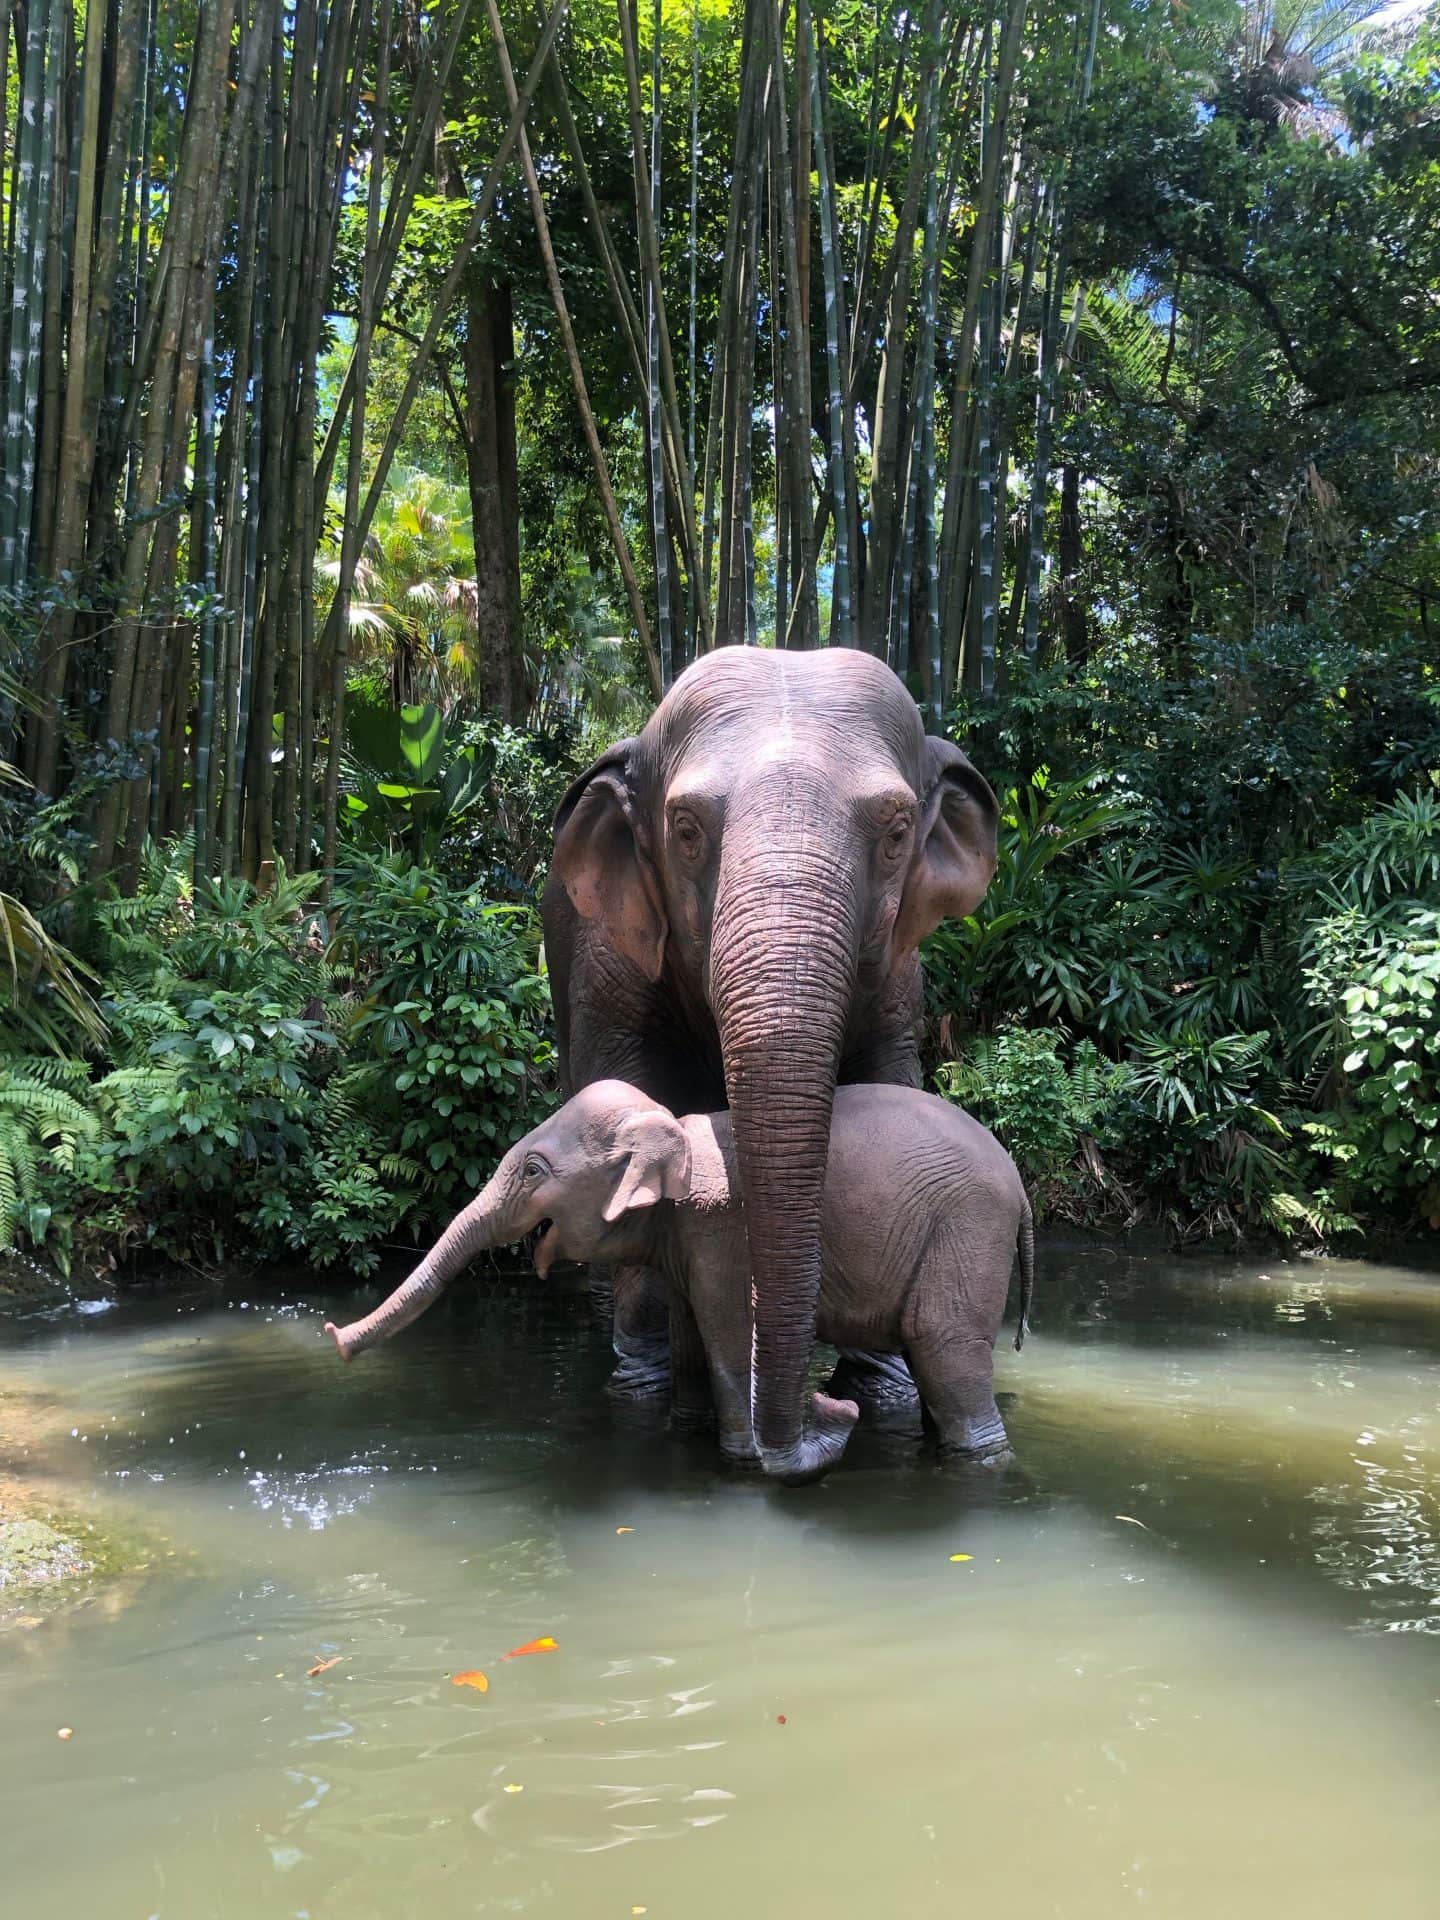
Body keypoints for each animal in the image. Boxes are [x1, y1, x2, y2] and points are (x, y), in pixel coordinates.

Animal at [326, 1082, 1029, 1482]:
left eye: (532, 1171)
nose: (333, 1336)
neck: (673, 1126)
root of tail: (1021, 1190)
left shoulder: (723, 1232)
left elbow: (727, 1334)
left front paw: (741, 1462)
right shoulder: (693, 1244)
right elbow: (690, 1334)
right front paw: (686, 1437)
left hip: (968, 1229)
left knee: (942, 1345)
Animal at [545, 645, 998, 1482]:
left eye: (896, 832)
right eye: (686, 829)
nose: (801, 1437)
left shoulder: (900, 980)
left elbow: (887, 1088)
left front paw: (881, 1391)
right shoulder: (608, 963)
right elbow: (628, 1089)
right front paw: (648, 1380)